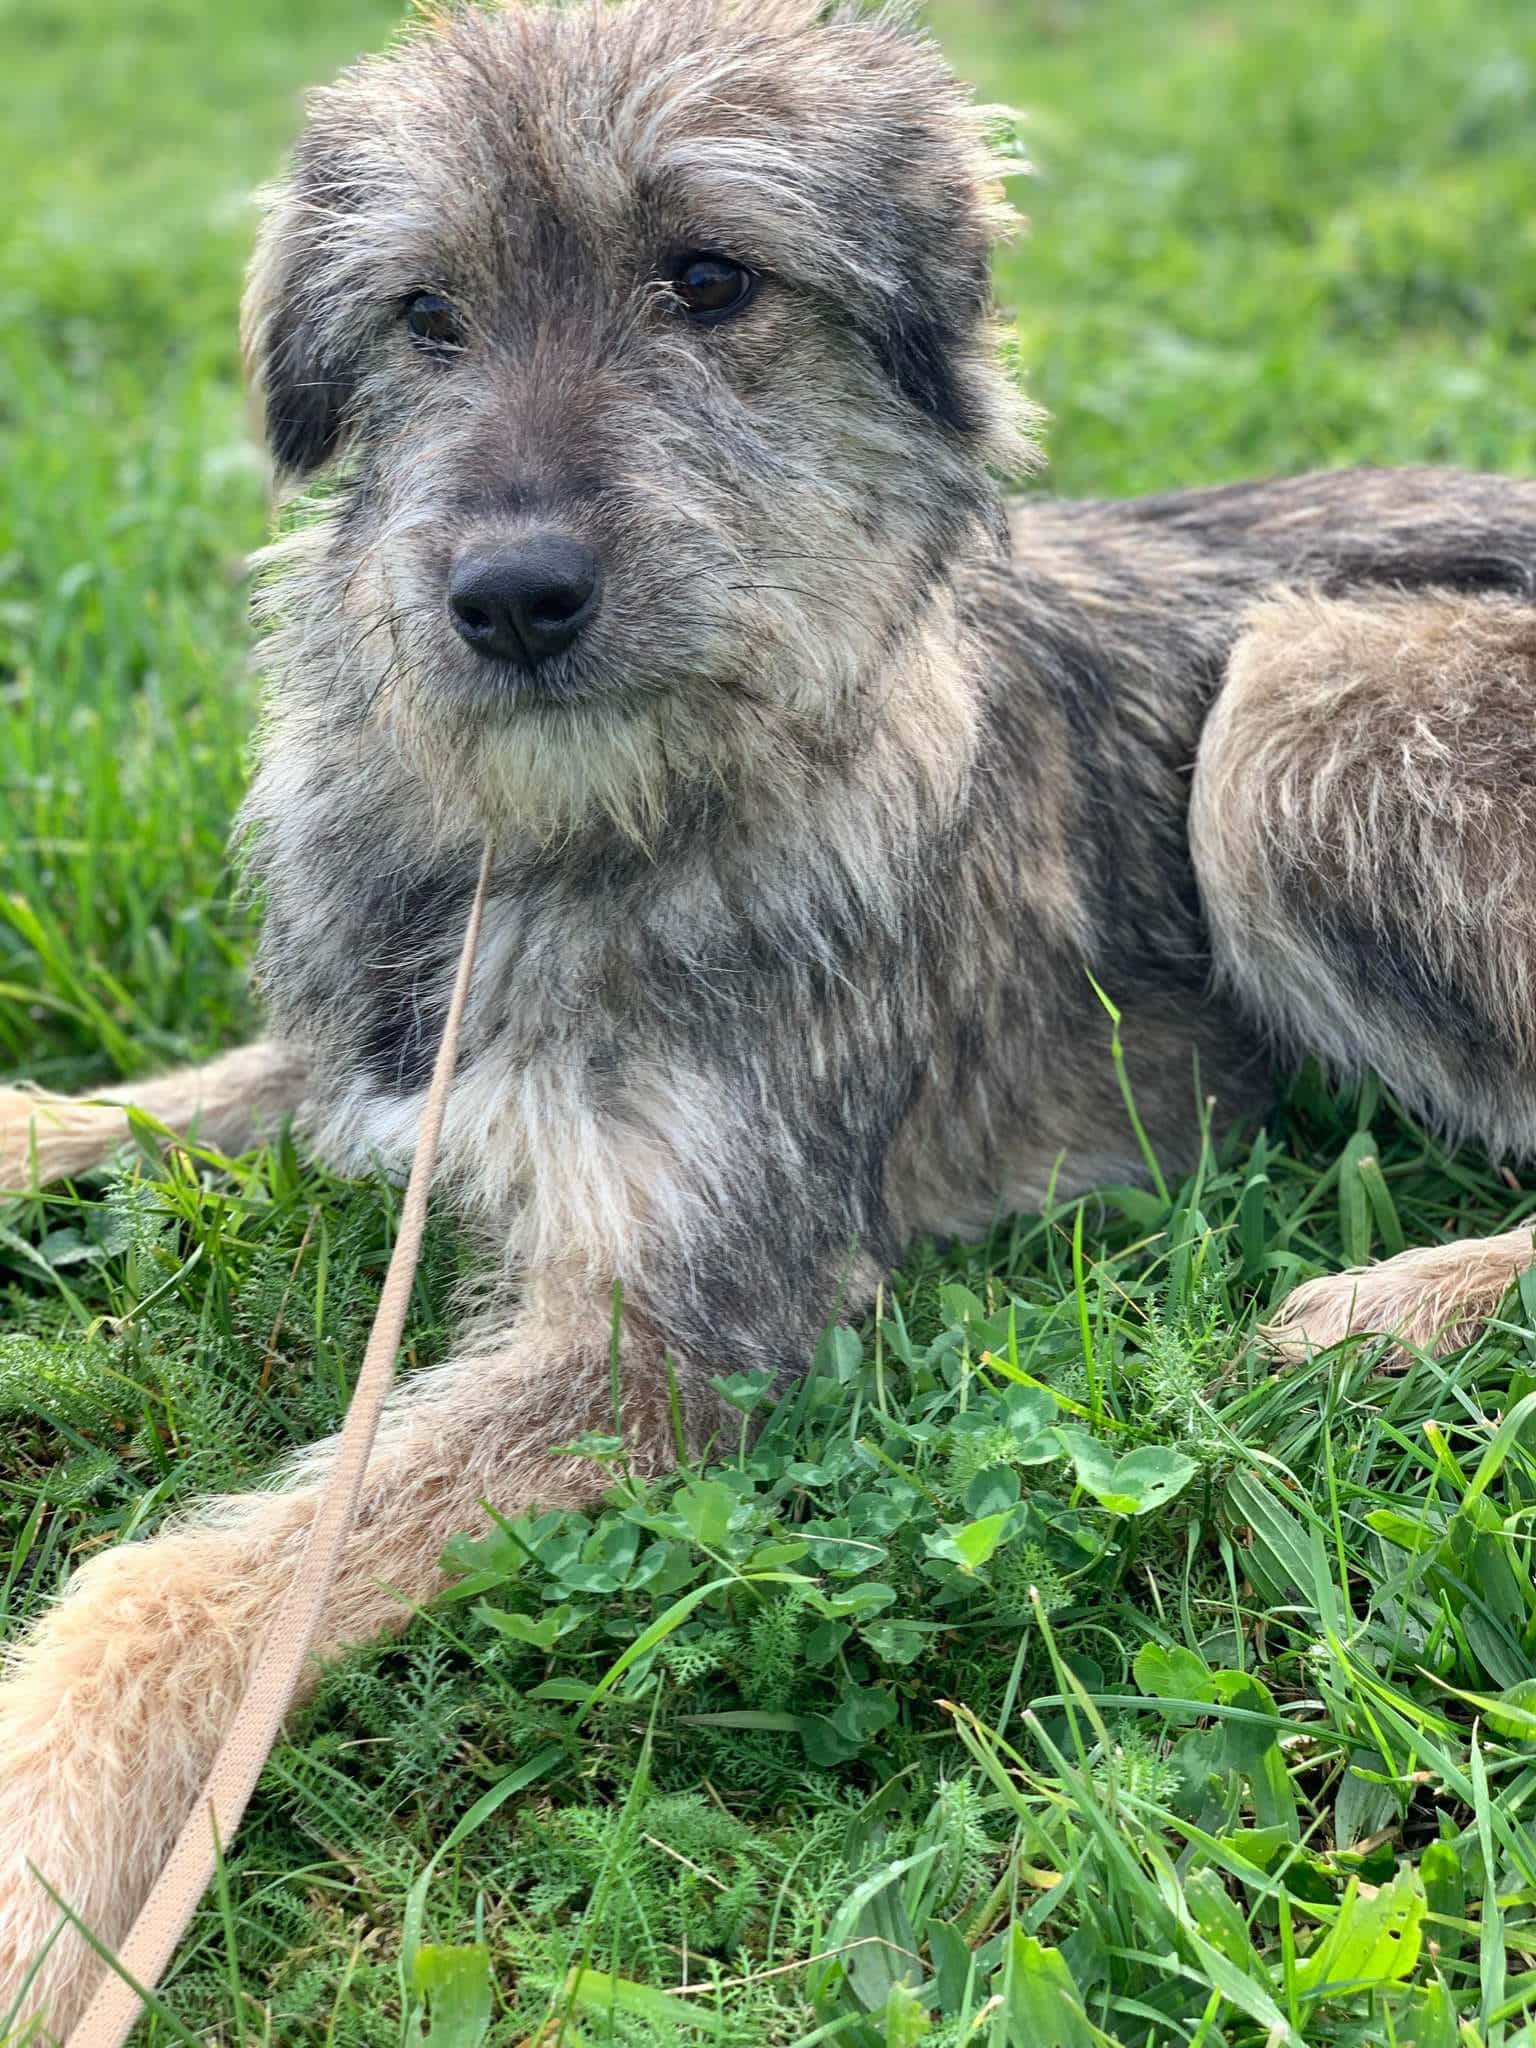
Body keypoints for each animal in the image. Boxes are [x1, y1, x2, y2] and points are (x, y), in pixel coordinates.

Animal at [3, 0, 1536, 2033]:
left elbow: (171, 1589)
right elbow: (113, 1110)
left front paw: (39, 1847)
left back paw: (1379, 1311)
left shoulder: (677, 1338)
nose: (510, 597)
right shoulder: (363, 1072)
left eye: (710, 279)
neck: (559, 834)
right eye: (426, 314)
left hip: (1300, 702)